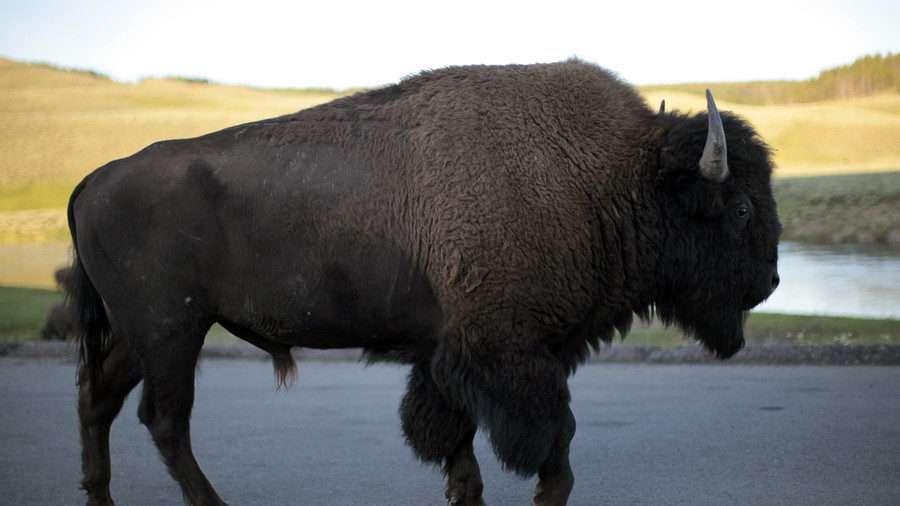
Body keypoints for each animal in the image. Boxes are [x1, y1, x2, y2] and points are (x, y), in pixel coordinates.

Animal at [68, 59, 780, 505]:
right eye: (742, 207)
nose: (772, 281)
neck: (607, 178)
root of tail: (90, 182)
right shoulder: (508, 352)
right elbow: (552, 436)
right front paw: (541, 492)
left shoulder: (447, 354)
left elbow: (449, 434)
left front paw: (465, 494)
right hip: (173, 331)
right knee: (164, 419)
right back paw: (211, 503)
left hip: (141, 335)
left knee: (99, 400)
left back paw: (100, 496)